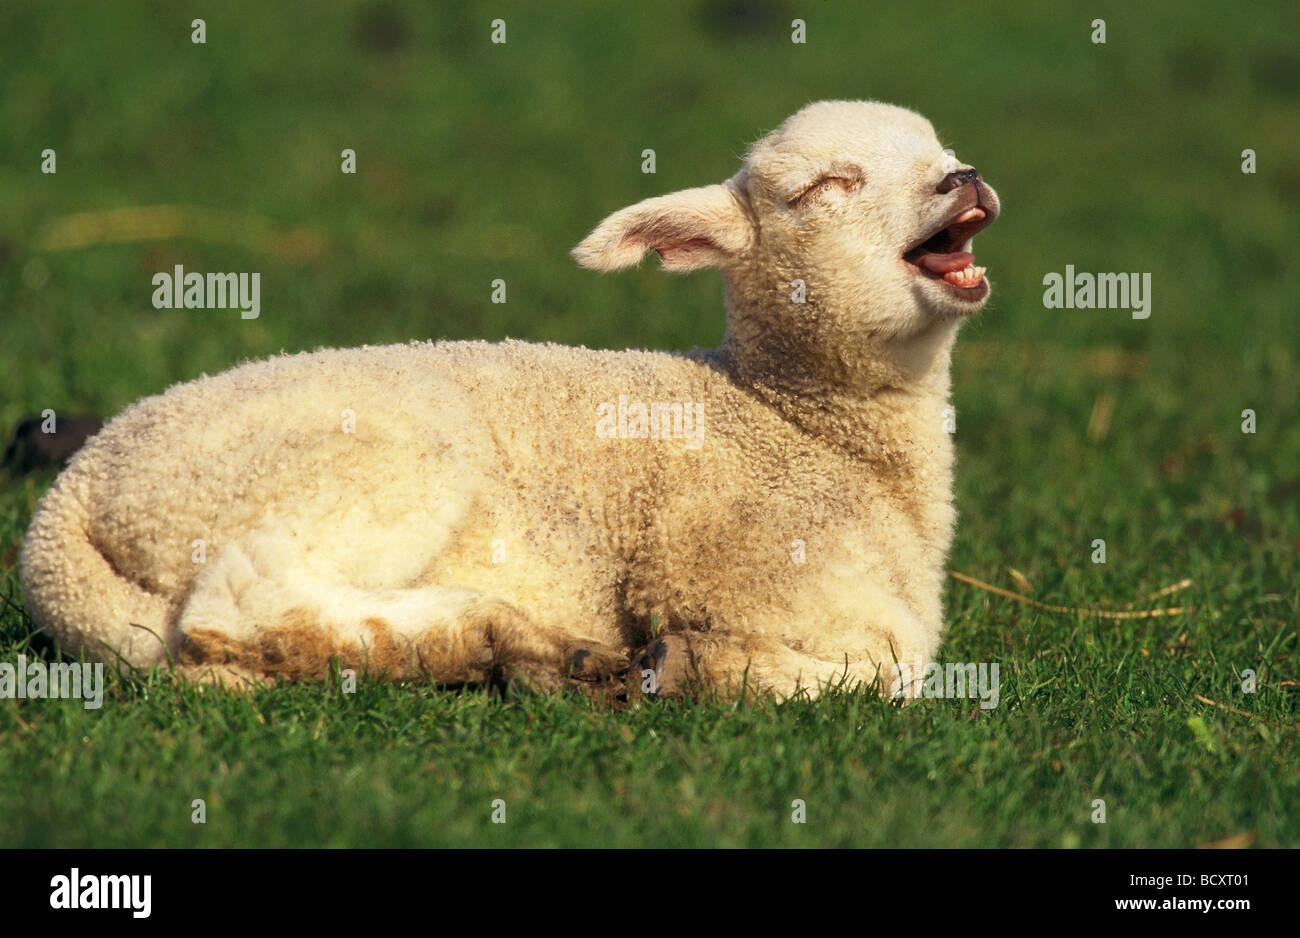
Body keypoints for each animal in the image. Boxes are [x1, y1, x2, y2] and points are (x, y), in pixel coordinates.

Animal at [20, 100, 999, 699]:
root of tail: (65, 513)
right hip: (368, 463)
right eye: (827, 186)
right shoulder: (736, 562)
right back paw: (510, 643)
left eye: (943, 151)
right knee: (233, 606)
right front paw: (701, 665)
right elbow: (893, 669)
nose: (964, 177)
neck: (792, 421)